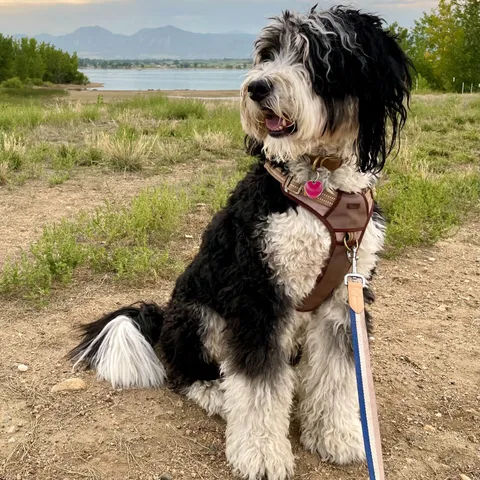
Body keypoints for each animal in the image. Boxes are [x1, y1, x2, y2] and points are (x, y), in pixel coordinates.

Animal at [69, 7, 410, 480]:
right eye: (268, 54)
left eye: (317, 54)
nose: (256, 87)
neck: (320, 184)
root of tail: (162, 317)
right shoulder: (257, 293)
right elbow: (257, 386)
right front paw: (262, 454)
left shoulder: (345, 297)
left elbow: (338, 375)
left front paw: (337, 436)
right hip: (202, 317)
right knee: (188, 372)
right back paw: (217, 394)